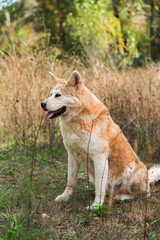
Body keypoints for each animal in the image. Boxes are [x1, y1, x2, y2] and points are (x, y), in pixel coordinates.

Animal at [41, 70, 160, 209]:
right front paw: (65, 197)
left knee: (143, 195)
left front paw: (96, 206)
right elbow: (70, 181)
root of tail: (149, 182)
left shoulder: (100, 159)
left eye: (58, 95)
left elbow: (99, 186)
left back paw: (122, 197)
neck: (79, 120)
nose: (42, 104)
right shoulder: (72, 156)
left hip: (133, 171)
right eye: (50, 95)